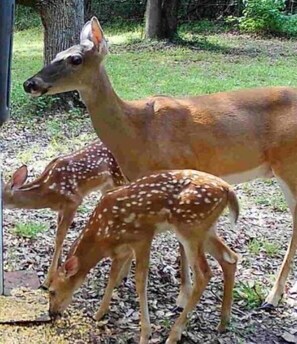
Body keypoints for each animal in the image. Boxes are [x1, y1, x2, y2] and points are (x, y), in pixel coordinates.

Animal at [2, 140, 126, 288]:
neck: (47, 191)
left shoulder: (73, 201)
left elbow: (60, 237)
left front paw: (47, 280)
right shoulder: (60, 209)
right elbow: (58, 234)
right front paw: (59, 265)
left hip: (119, 179)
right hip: (106, 187)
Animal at [23, 16, 297, 308]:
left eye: (75, 59)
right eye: (56, 54)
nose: (30, 83)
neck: (136, 130)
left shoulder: (174, 172)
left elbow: (179, 244)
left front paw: (182, 295)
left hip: (289, 164)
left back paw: (272, 296)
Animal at [48, 170, 238, 344]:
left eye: (52, 291)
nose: (51, 313)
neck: (102, 236)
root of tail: (228, 189)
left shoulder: (142, 237)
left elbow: (140, 282)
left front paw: (145, 333)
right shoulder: (122, 250)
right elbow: (112, 276)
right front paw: (99, 313)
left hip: (190, 228)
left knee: (204, 274)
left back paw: (174, 335)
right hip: (205, 229)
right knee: (230, 257)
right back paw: (223, 322)